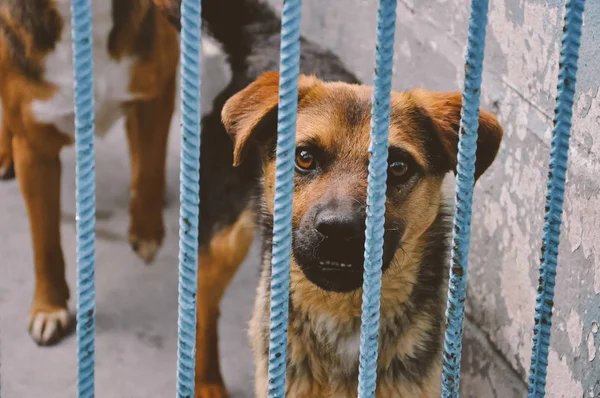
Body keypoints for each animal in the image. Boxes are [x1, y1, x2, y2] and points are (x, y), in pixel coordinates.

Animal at [0, 0, 178, 346]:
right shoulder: (33, 149)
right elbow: (44, 241)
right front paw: (49, 307)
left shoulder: (157, 94)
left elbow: (149, 169)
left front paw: (146, 231)